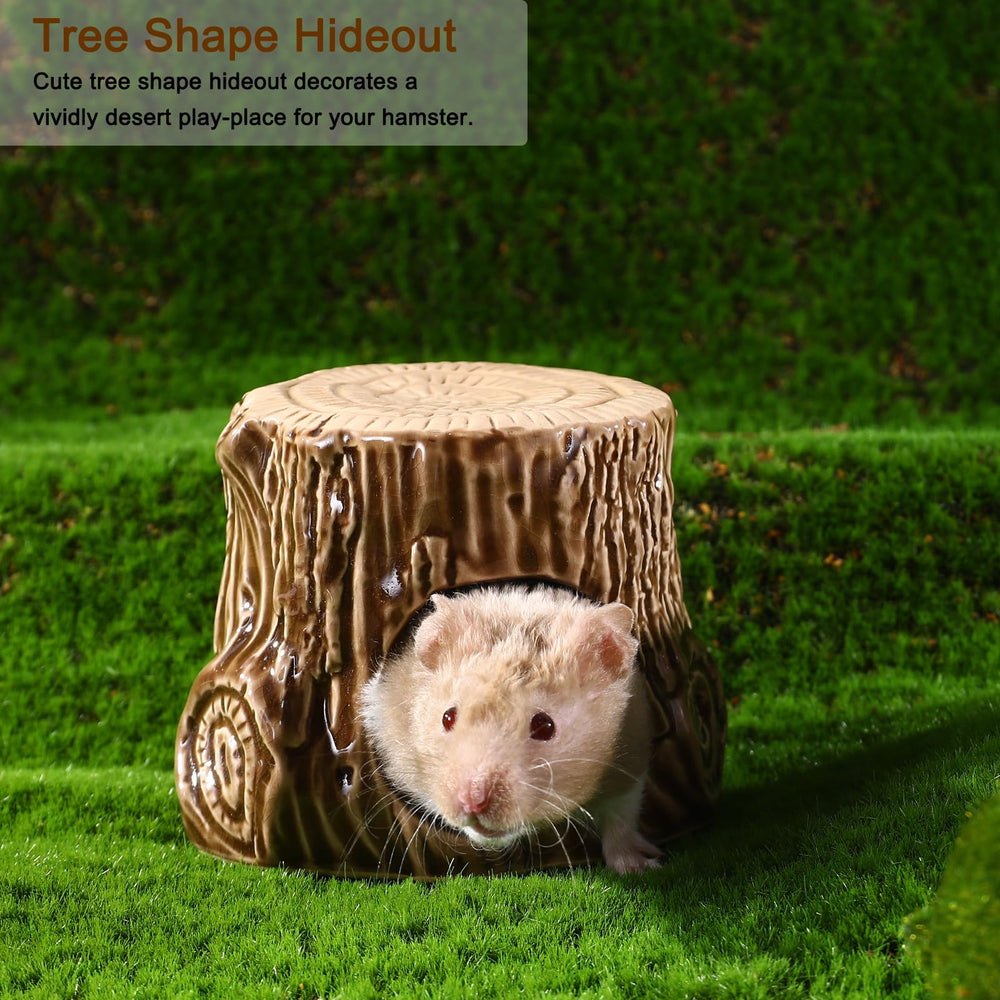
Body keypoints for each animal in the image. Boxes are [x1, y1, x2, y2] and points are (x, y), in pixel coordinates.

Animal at [358, 585, 662, 874]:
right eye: (447, 717)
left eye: (545, 726)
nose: (472, 801)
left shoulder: (631, 758)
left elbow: (620, 818)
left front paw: (639, 868)